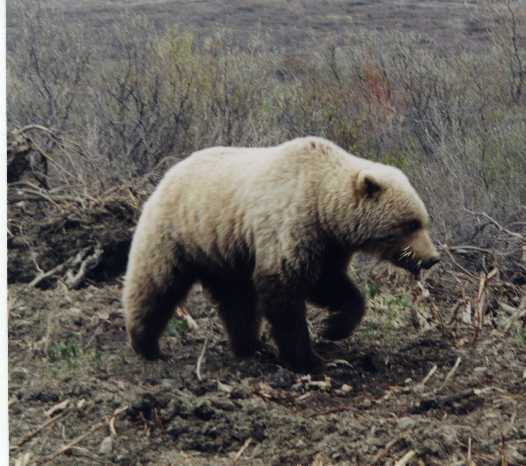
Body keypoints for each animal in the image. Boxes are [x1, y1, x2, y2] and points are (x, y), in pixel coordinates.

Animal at [124, 137, 442, 374]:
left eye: (423, 220)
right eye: (411, 224)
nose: (431, 258)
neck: (325, 206)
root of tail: (167, 174)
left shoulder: (328, 245)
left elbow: (330, 284)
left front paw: (334, 327)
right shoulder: (290, 223)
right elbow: (285, 291)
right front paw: (307, 358)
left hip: (225, 249)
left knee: (237, 300)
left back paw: (250, 345)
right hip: (180, 232)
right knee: (156, 284)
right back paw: (146, 344)